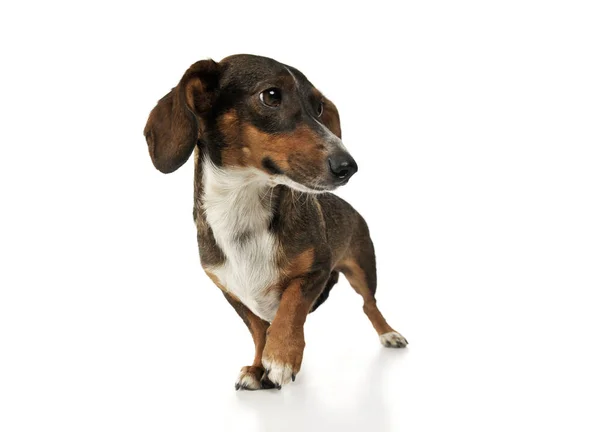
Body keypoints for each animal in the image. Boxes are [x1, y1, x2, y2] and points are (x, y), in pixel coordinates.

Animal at [144, 54, 408, 392]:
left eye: (318, 107)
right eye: (270, 96)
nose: (348, 166)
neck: (243, 208)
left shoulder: (316, 270)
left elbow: (291, 308)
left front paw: (281, 358)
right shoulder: (231, 290)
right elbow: (259, 330)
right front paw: (259, 367)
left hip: (363, 266)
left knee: (369, 304)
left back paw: (388, 333)